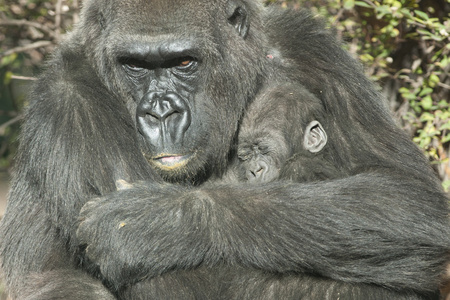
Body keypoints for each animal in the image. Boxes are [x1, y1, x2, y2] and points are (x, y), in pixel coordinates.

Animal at [0, 0, 450, 300]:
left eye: (184, 62)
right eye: (135, 65)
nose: (160, 113)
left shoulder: (311, 45)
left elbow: (409, 195)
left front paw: (162, 225)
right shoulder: (67, 102)